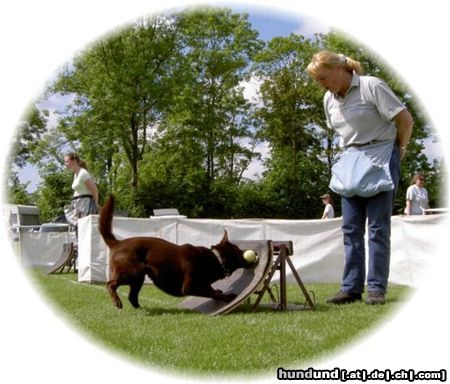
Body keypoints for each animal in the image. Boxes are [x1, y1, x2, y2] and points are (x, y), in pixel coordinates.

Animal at [99, 195, 256, 308]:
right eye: (239, 250)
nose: (253, 253)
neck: (215, 259)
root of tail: (118, 242)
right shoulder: (189, 287)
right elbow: (212, 293)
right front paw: (228, 297)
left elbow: (212, 291)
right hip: (134, 271)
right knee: (110, 284)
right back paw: (117, 302)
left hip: (138, 276)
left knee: (131, 297)